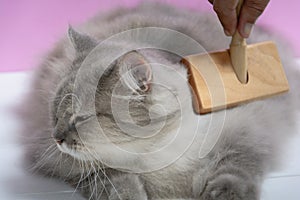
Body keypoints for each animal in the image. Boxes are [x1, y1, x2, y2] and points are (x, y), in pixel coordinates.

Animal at [19, 1, 300, 200]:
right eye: (55, 113)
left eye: (81, 117)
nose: (56, 138)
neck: (155, 151)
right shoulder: (78, 167)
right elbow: (116, 182)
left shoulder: (247, 129)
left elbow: (236, 169)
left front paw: (224, 194)